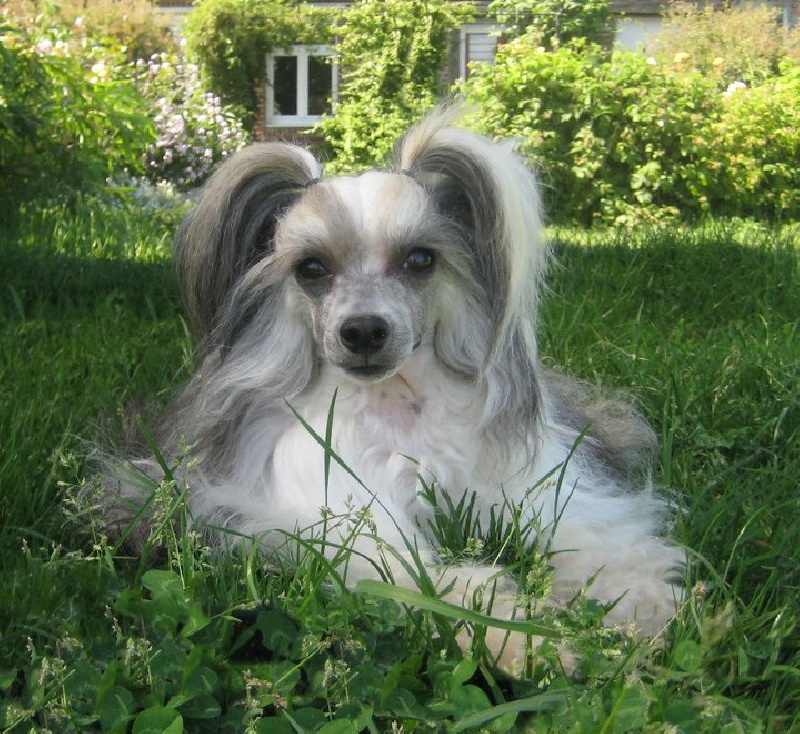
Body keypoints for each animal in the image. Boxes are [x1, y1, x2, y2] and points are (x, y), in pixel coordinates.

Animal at [103, 106, 684, 676]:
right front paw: (522, 638)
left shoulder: (533, 487)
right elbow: (431, 582)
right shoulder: (336, 522)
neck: (398, 408)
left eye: (420, 259)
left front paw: (638, 600)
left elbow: (588, 533)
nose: (363, 331)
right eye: (311, 268)